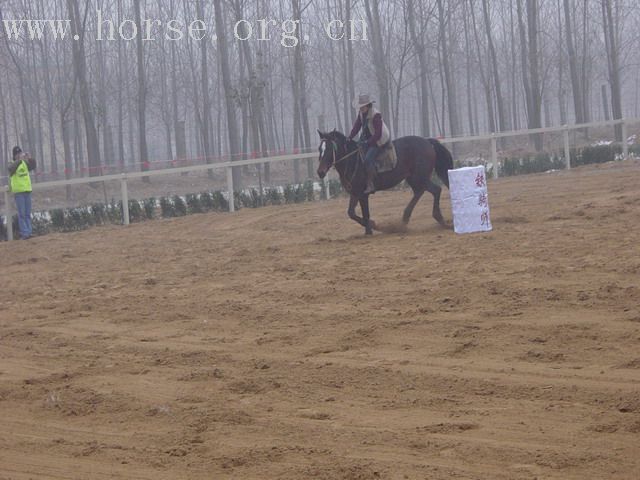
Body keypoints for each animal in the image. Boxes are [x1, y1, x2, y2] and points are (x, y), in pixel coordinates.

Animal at [318, 130, 452, 235]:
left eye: (329, 149)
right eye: (320, 149)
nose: (320, 172)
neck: (352, 160)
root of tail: (427, 142)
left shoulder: (363, 194)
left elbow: (365, 214)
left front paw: (372, 227)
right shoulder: (355, 193)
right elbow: (351, 213)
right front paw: (369, 229)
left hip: (420, 177)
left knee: (435, 190)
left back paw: (438, 218)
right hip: (414, 178)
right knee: (420, 192)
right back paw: (405, 219)